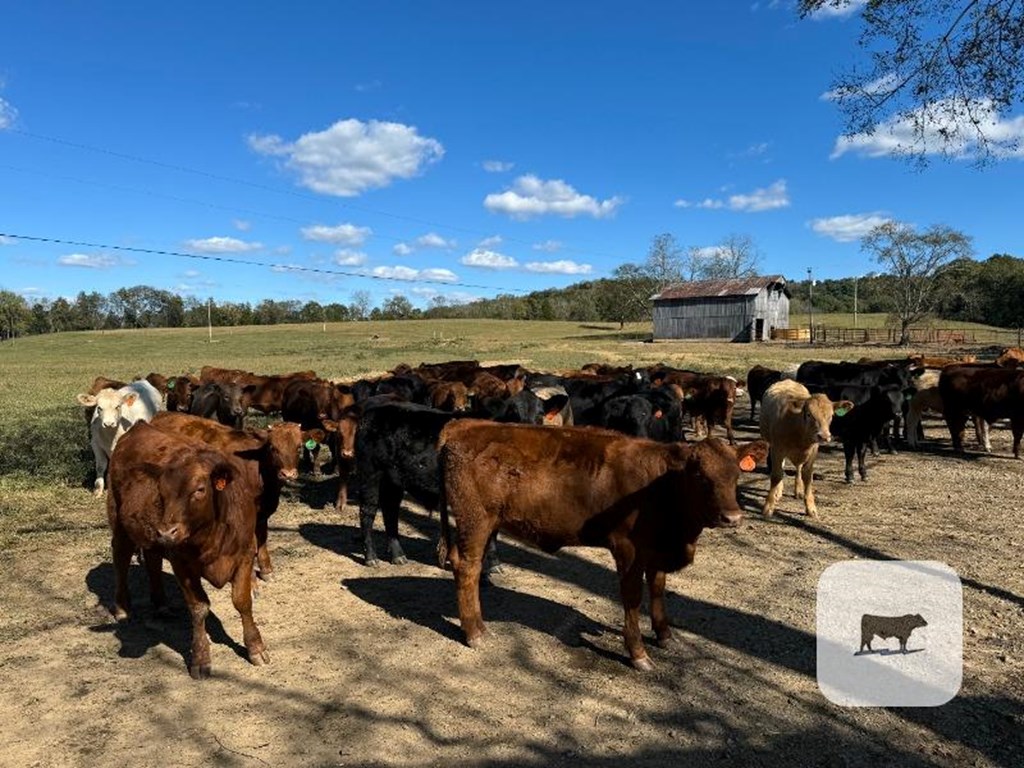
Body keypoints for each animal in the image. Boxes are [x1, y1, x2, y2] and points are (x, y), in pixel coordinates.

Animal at [106, 421, 270, 679]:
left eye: (200, 490)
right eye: (161, 491)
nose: (166, 531)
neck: (212, 534)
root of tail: (139, 426)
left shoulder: (244, 554)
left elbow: (242, 602)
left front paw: (255, 648)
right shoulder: (181, 563)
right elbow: (199, 608)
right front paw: (201, 658)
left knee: (152, 560)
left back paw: (161, 604)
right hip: (119, 521)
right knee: (121, 558)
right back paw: (122, 607)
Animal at [436, 421, 765, 671]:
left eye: (736, 473)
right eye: (699, 476)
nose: (733, 517)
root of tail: (464, 426)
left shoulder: (657, 550)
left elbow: (658, 588)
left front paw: (664, 635)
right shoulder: (628, 549)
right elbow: (632, 597)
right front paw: (638, 653)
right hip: (476, 522)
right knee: (468, 568)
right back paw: (475, 632)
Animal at [757, 378, 851, 518]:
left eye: (831, 416)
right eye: (808, 414)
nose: (824, 436)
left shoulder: (813, 451)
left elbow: (807, 476)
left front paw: (810, 507)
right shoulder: (777, 449)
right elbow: (776, 475)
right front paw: (769, 506)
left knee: (798, 468)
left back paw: (798, 490)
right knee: (781, 468)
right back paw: (778, 491)